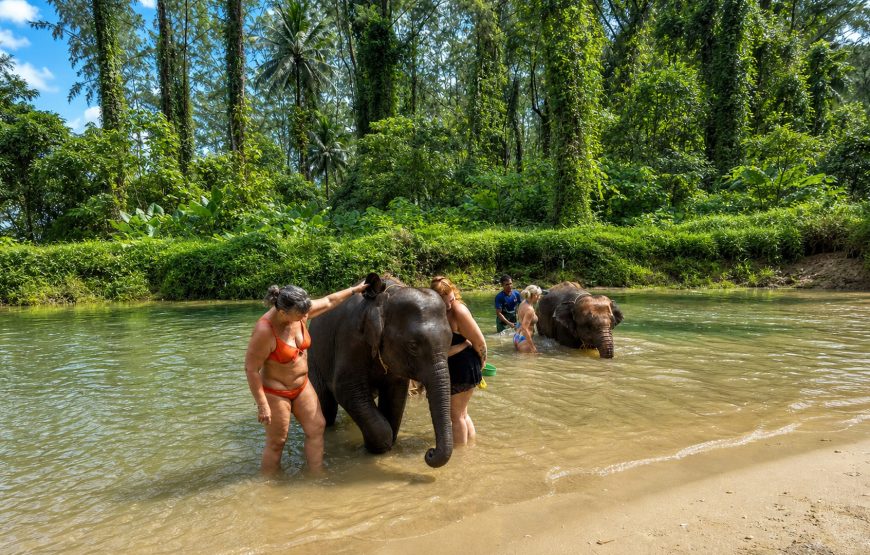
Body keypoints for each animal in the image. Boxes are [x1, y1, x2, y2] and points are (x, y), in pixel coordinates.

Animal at [307, 273, 454, 468]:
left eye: (450, 341)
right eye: (413, 346)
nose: (429, 453)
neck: (384, 298)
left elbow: (396, 394)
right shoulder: (349, 338)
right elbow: (347, 389)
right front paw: (377, 448)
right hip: (314, 357)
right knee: (325, 406)